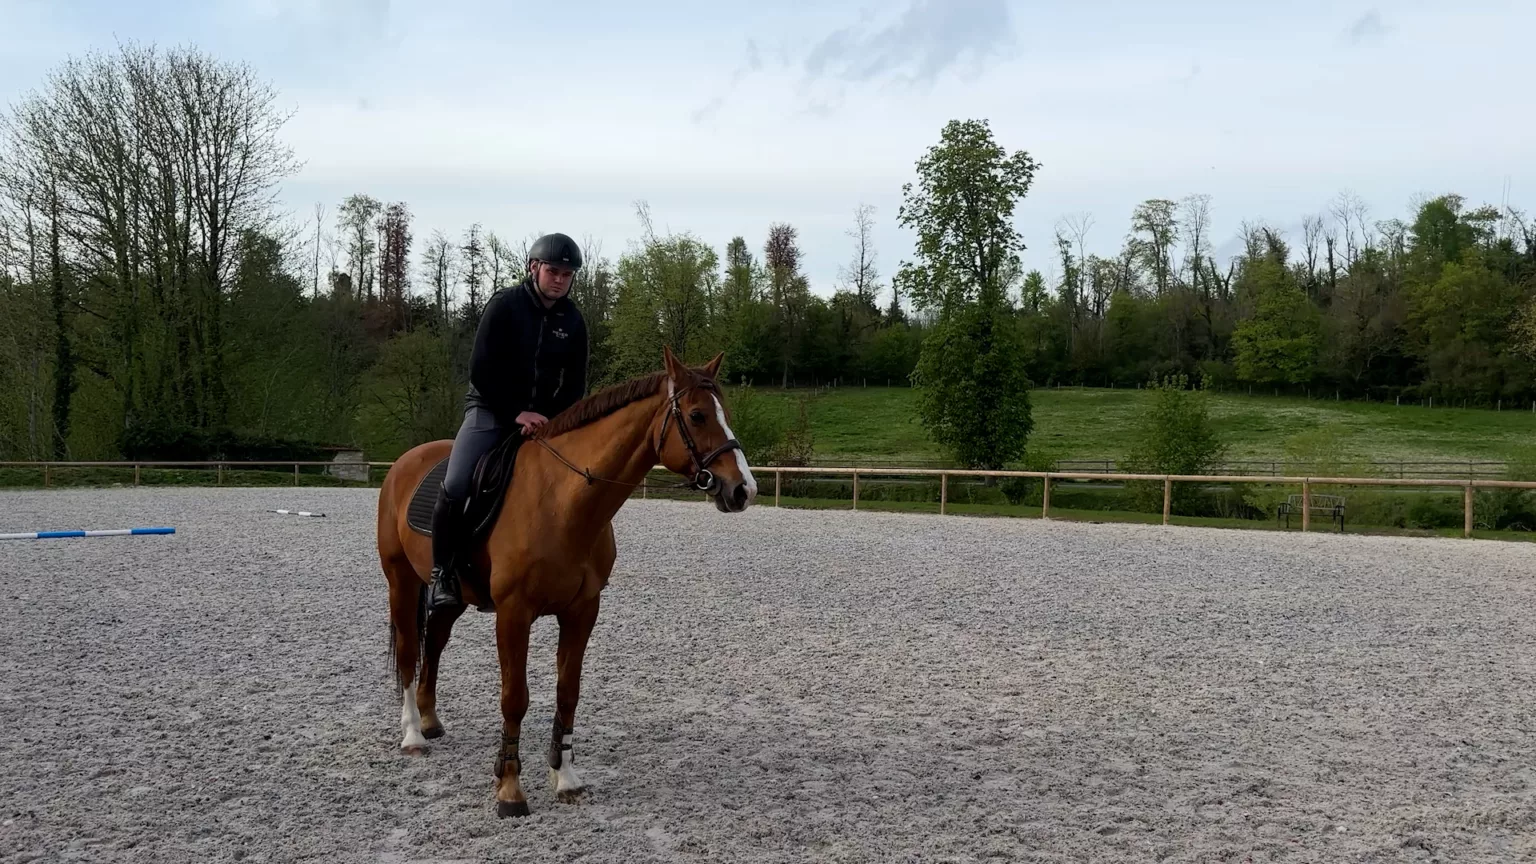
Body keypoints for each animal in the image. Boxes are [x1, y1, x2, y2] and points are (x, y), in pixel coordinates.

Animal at [375, 347, 758, 817]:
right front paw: (509, 788)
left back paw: (429, 721)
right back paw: (412, 733)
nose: (743, 490)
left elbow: (567, 692)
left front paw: (566, 776)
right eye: (698, 415)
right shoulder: (513, 613)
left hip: (453, 596)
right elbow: (514, 697)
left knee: (436, 643)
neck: (562, 501)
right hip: (400, 581)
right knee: (410, 651)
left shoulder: (582, 611)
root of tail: (405, 462)